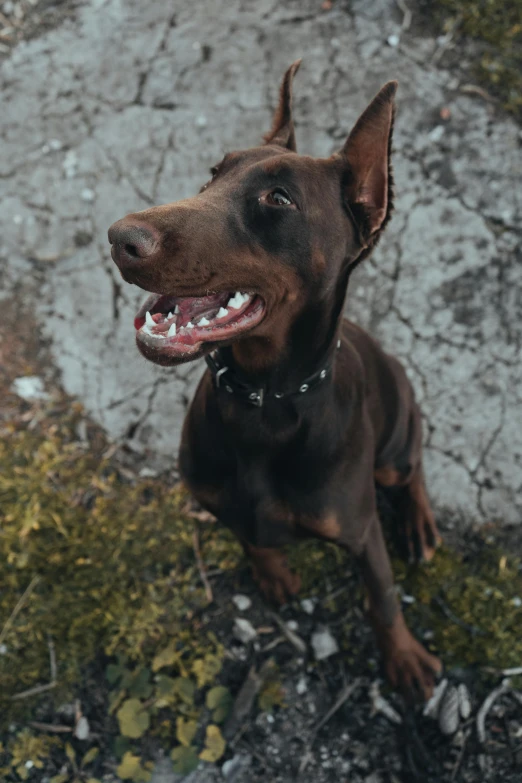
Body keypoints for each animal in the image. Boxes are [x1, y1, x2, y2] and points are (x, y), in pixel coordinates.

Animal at [107, 61, 440, 700]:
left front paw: (404, 658)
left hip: (397, 437)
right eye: (213, 173)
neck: (261, 403)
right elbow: (251, 537)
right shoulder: (216, 499)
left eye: (279, 198)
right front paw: (275, 574)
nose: (119, 237)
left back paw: (419, 523)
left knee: (411, 471)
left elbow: (382, 597)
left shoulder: (360, 530)